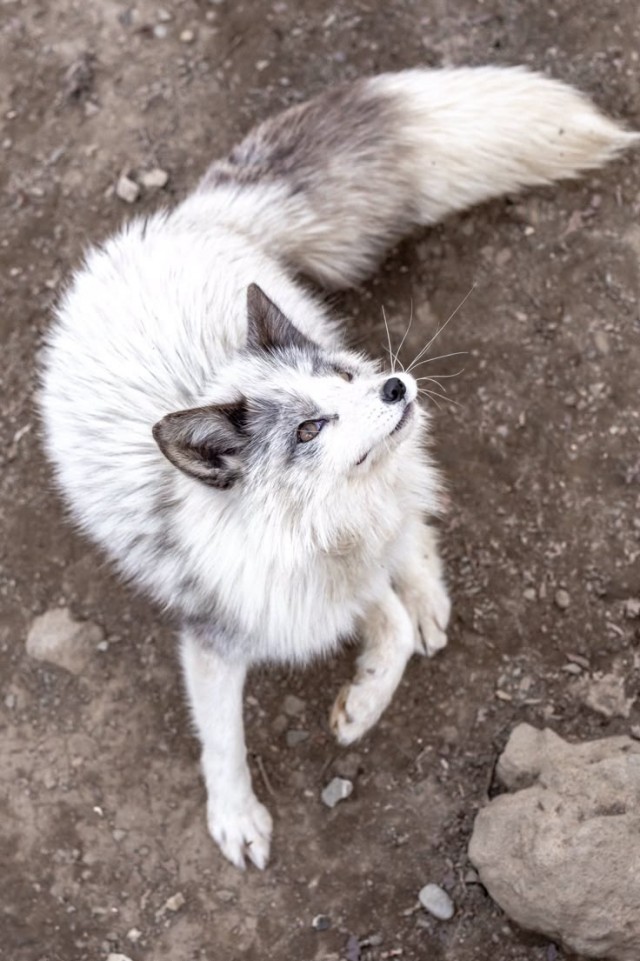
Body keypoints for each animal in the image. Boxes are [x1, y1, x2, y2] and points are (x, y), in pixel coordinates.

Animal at [40, 66, 637, 869]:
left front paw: (361, 702)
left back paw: (427, 595)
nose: (393, 387)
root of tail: (187, 218)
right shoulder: (223, 632)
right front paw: (237, 814)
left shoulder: (349, 574)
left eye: (343, 378)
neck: (322, 533)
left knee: (418, 522)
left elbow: (391, 621)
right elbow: (225, 736)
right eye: (309, 428)